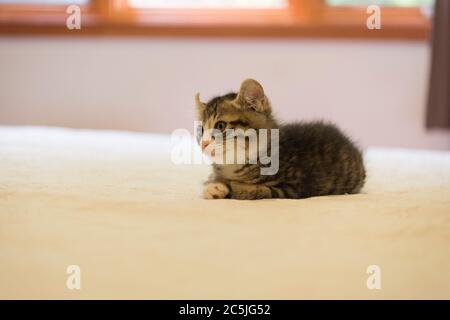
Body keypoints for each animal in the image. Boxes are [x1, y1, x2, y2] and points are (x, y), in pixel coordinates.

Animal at [195, 79, 364, 199]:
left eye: (220, 125)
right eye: (201, 130)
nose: (203, 144)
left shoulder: (294, 187)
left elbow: (255, 190)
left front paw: (229, 187)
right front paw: (214, 185)